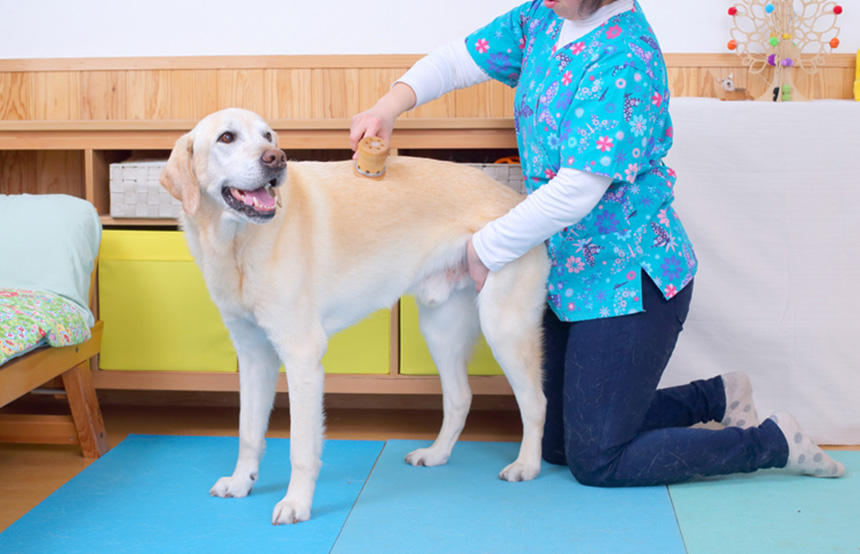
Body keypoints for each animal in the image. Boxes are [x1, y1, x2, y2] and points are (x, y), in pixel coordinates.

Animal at [161, 106, 552, 520]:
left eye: (268, 136)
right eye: (227, 138)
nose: (276, 159)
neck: (236, 243)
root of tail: (513, 198)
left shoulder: (302, 357)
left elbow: (301, 447)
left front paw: (297, 503)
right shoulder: (253, 357)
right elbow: (248, 431)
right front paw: (241, 483)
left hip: (504, 329)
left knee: (536, 403)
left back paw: (526, 465)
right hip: (440, 330)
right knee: (460, 397)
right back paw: (437, 454)